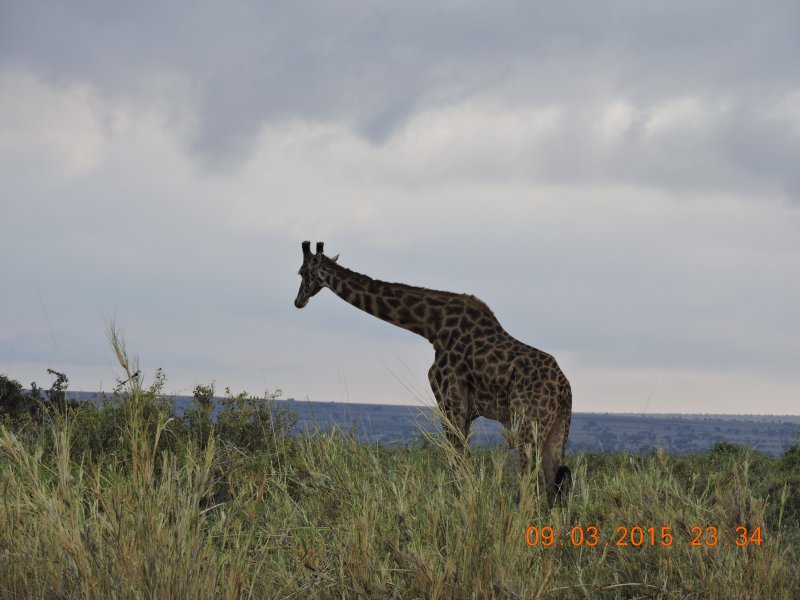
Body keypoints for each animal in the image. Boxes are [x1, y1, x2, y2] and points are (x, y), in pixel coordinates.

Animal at [294, 241, 572, 504]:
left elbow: (460, 464)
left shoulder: (451, 402)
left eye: (302, 272)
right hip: (557, 426)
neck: (431, 326)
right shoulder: (462, 410)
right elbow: (461, 464)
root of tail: (564, 388)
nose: (298, 301)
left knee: (531, 480)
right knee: (553, 485)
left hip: (529, 423)